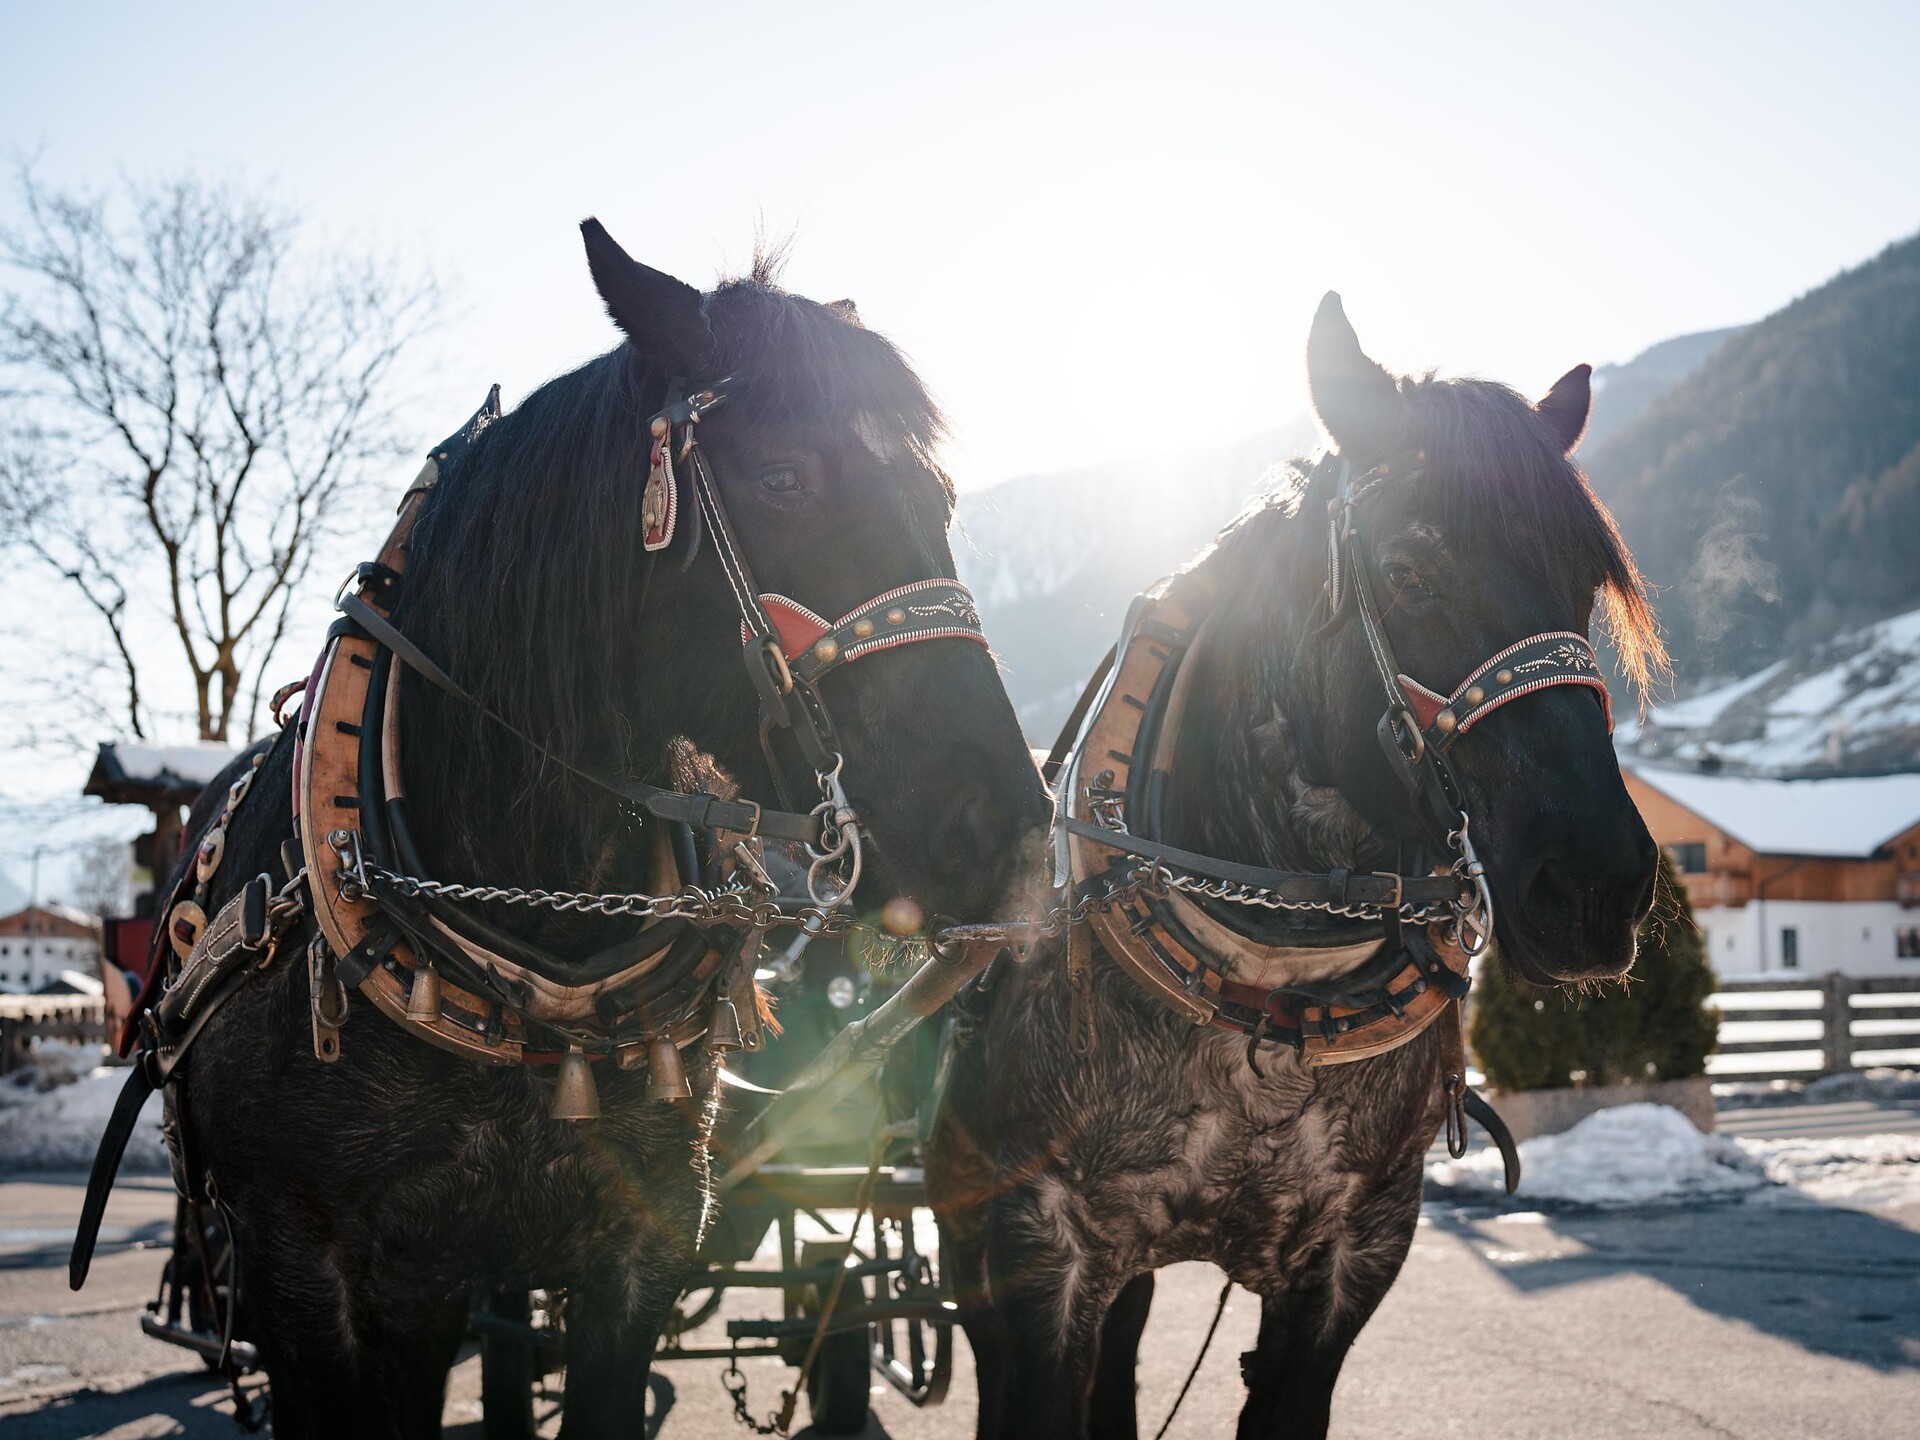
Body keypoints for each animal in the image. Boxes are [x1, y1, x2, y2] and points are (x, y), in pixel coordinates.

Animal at [928, 293, 1665, 1440]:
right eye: (1410, 571)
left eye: (1586, 586)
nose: (1597, 888)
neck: (1272, 988)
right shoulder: (1039, 1247)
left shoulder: (1356, 1253)